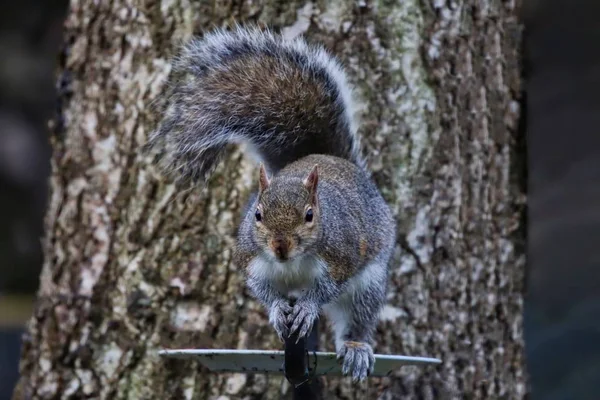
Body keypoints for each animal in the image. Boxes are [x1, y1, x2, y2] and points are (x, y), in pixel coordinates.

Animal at [145, 25, 396, 382]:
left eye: (310, 215)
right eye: (258, 214)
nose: (280, 247)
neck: (292, 263)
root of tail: (330, 159)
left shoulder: (341, 258)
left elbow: (325, 290)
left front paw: (307, 307)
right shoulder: (253, 261)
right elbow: (263, 291)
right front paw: (278, 310)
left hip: (369, 283)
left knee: (358, 316)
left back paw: (356, 348)